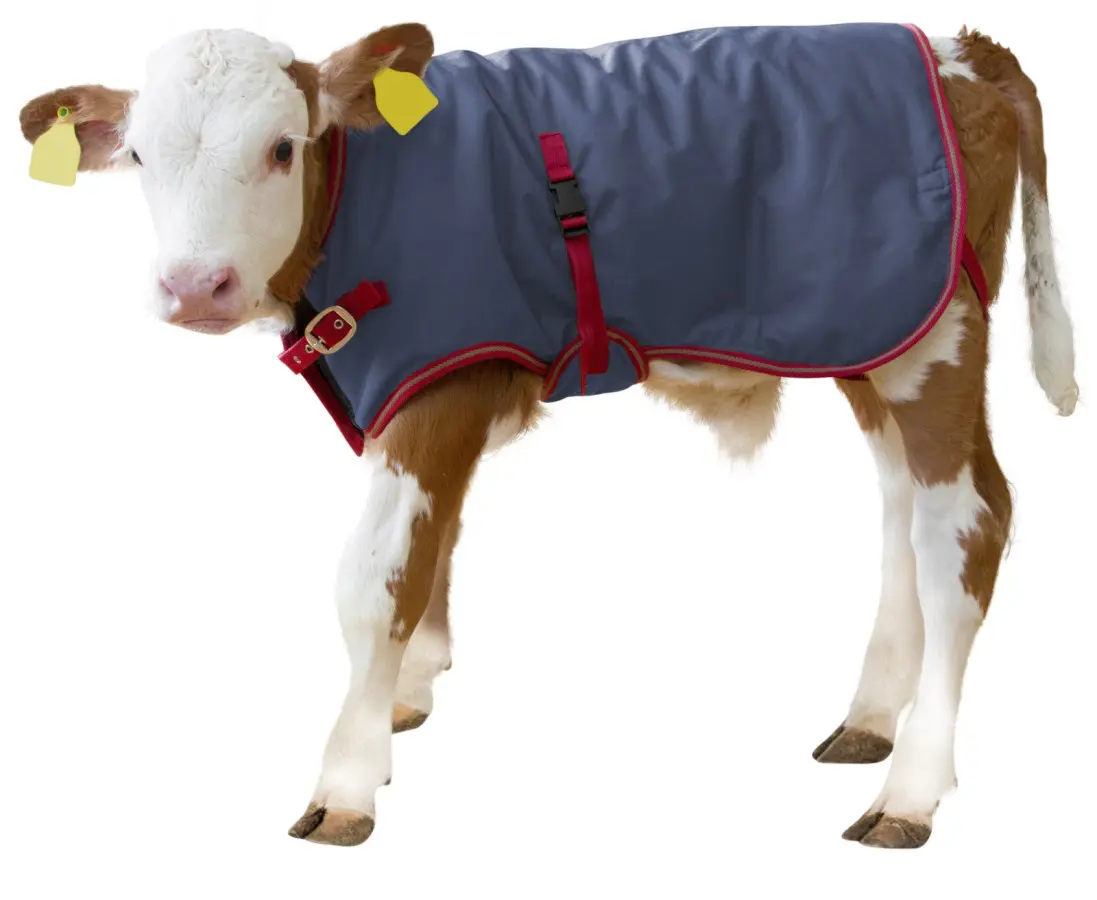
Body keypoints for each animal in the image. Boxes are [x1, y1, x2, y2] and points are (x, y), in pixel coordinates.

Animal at [18, 21, 1077, 850]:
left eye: (282, 147)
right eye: (142, 158)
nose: (195, 285)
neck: (361, 193)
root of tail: (959, 47)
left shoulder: (434, 385)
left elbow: (375, 580)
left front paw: (347, 779)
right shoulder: (437, 388)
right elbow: (436, 544)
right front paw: (403, 695)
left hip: (936, 340)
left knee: (966, 527)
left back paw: (909, 793)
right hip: (878, 337)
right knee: (903, 508)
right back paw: (870, 718)